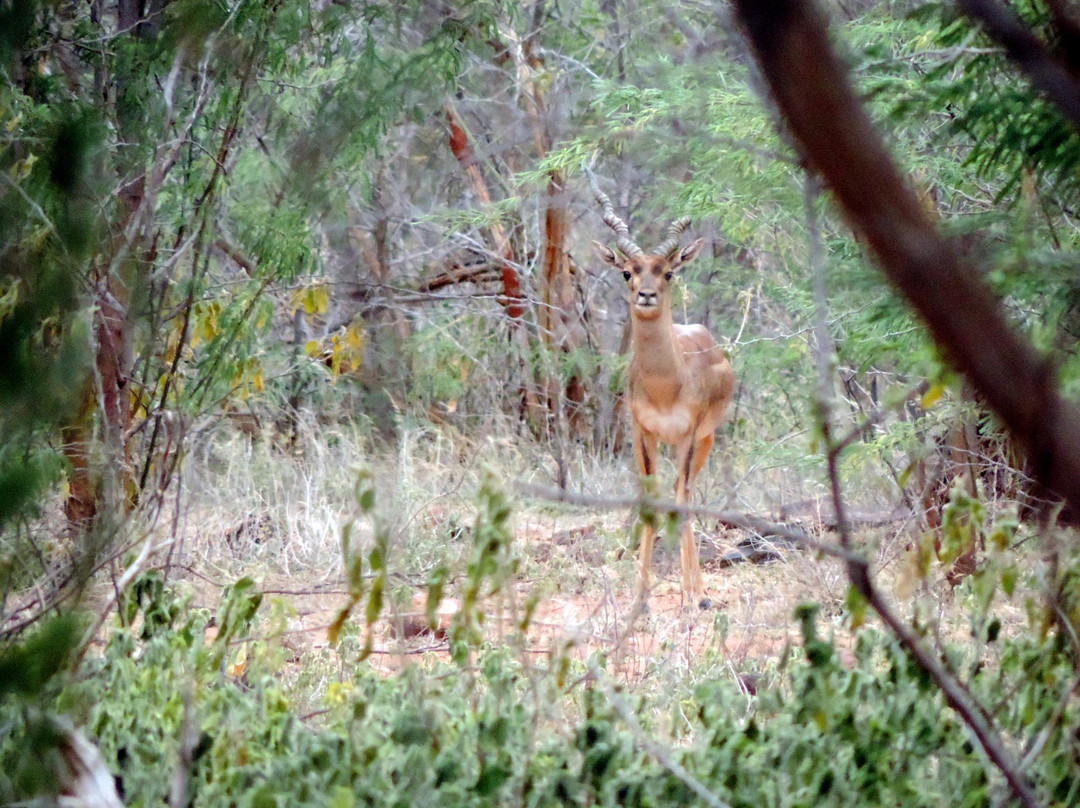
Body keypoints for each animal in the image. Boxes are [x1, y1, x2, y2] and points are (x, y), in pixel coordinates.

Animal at [587, 171, 738, 613]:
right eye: (627, 271)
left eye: (667, 271)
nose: (646, 295)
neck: (665, 385)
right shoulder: (642, 433)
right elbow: (651, 505)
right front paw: (640, 599)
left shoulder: (688, 435)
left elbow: (681, 499)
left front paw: (698, 596)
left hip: (705, 440)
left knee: (685, 493)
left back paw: (696, 593)